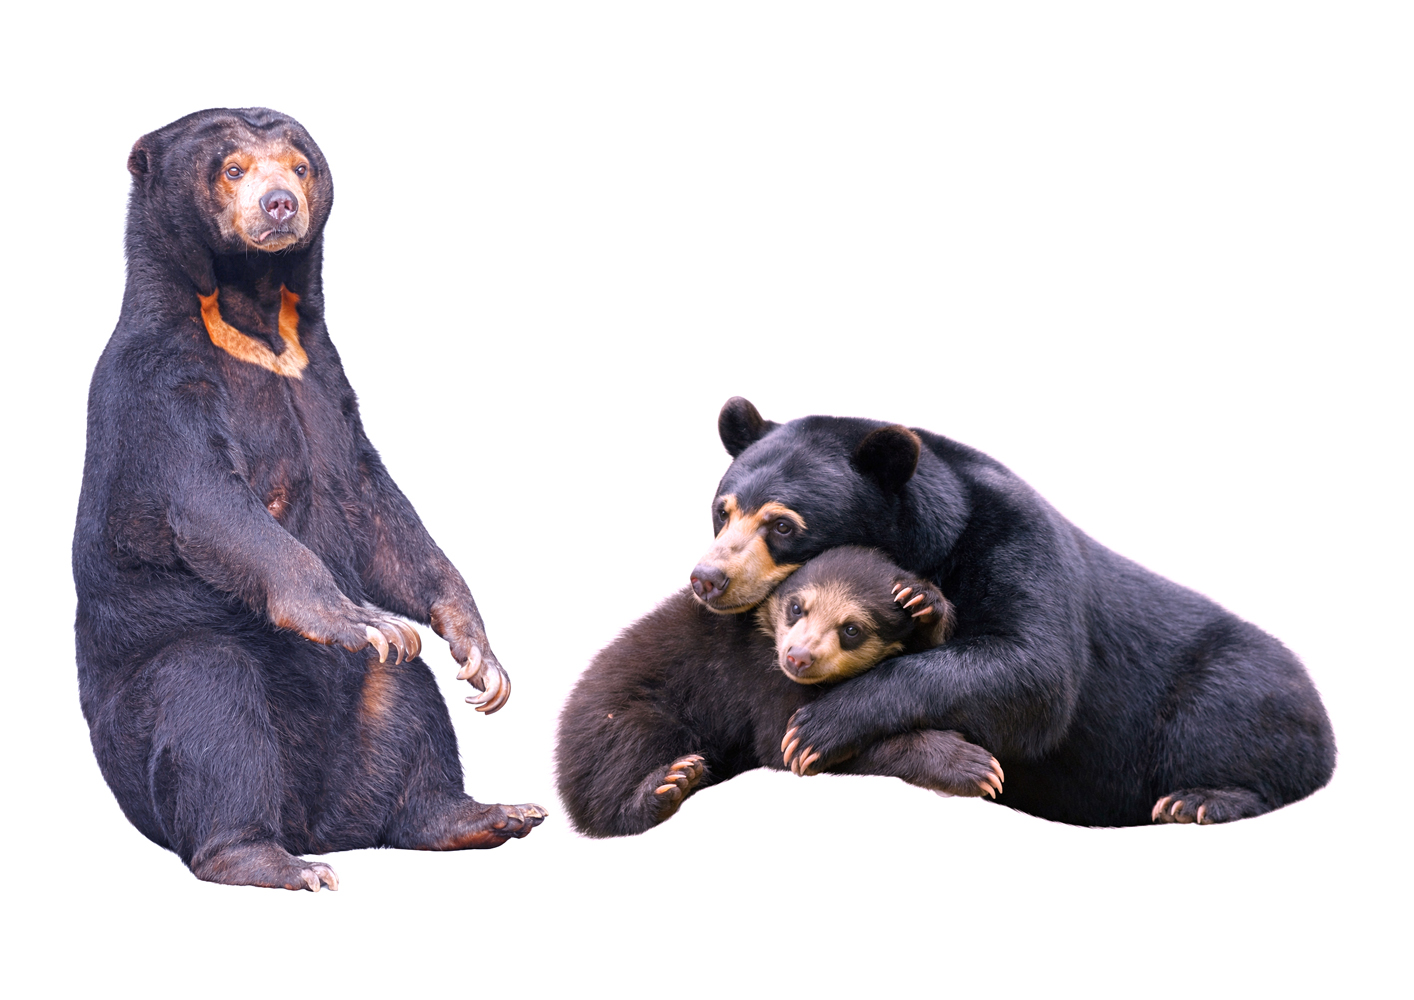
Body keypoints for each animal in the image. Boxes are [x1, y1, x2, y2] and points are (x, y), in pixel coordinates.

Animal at [73, 108, 543, 891]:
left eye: (297, 164)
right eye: (232, 167)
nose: (278, 206)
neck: (253, 317)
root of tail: (315, 820)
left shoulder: (325, 374)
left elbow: (376, 503)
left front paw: (480, 656)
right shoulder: (157, 380)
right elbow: (209, 501)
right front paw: (360, 619)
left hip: (365, 735)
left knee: (409, 702)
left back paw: (483, 814)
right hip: (137, 733)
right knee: (208, 696)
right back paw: (271, 861)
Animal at [556, 546, 1004, 837]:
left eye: (852, 629)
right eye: (796, 608)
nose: (798, 657)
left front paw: (922, 600)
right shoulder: (759, 676)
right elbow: (785, 743)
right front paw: (971, 766)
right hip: (628, 720)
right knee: (609, 796)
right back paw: (667, 786)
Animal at [689, 397, 1336, 827]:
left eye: (782, 525)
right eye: (723, 510)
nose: (707, 579)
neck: (933, 540)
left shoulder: (1013, 539)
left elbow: (1034, 671)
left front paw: (819, 726)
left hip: (1240, 690)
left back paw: (1199, 799)